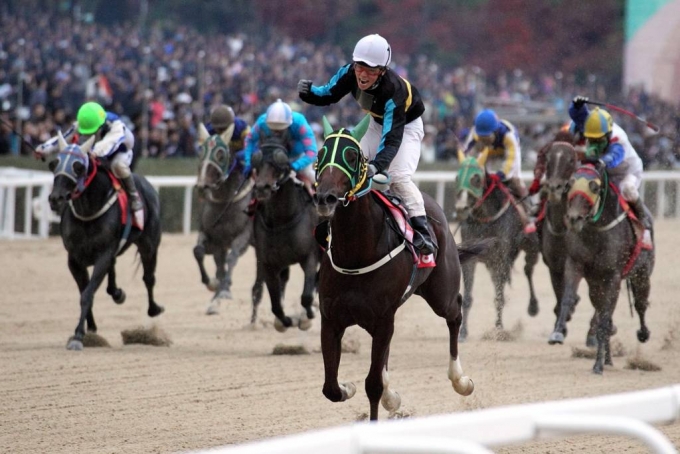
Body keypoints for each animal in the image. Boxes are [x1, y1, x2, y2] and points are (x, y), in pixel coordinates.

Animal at [314, 115, 484, 420]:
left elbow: (372, 384)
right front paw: (350, 387)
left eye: (352, 156)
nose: (325, 198)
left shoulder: (382, 320)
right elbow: (331, 387)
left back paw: (460, 380)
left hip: (440, 293)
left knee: (455, 312)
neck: (356, 254)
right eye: (320, 154)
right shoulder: (331, 319)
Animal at [548, 163, 652, 372]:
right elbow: (568, 298)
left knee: (640, 304)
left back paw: (643, 334)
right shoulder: (575, 264)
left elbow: (604, 318)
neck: (596, 231)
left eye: (594, 187)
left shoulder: (613, 276)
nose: (574, 218)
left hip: (642, 273)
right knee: (605, 310)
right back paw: (608, 358)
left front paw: (597, 365)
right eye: (569, 184)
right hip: (596, 286)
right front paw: (557, 332)